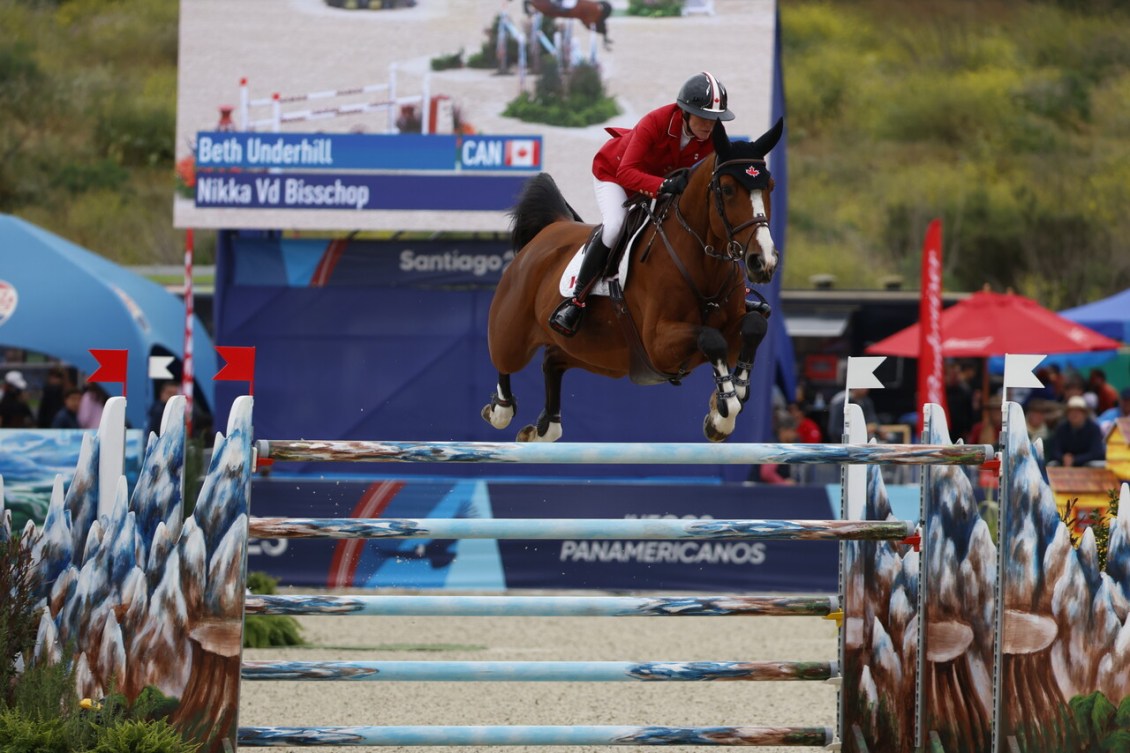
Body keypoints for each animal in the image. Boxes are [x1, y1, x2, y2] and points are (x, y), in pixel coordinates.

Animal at [479, 118, 786, 440]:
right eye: (726, 189)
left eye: (770, 186)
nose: (763, 261)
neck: (702, 264)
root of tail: (550, 229)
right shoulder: (659, 343)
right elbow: (711, 338)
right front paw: (725, 407)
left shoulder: (732, 327)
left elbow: (754, 326)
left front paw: (732, 394)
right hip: (513, 331)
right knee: (504, 360)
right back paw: (501, 409)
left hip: (597, 354)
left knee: (552, 360)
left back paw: (544, 427)